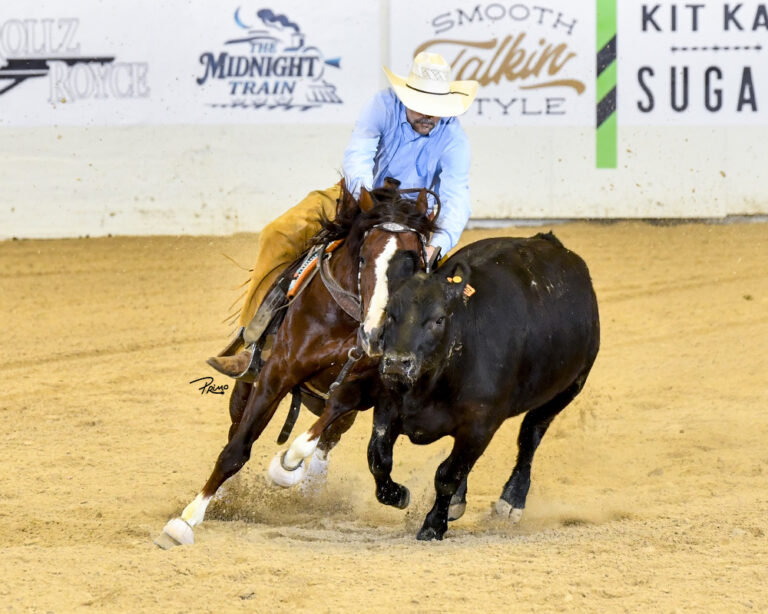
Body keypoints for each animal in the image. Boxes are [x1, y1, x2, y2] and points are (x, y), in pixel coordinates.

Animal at [157, 185, 436, 547]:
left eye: (415, 263)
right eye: (363, 258)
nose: (376, 334)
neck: (345, 322)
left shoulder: (361, 389)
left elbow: (316, 434)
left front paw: (287, 466)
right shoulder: (277, 373)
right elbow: (236, 449)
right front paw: (184, 521)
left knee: (328, 438)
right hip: (246, 385)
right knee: (237, 427)